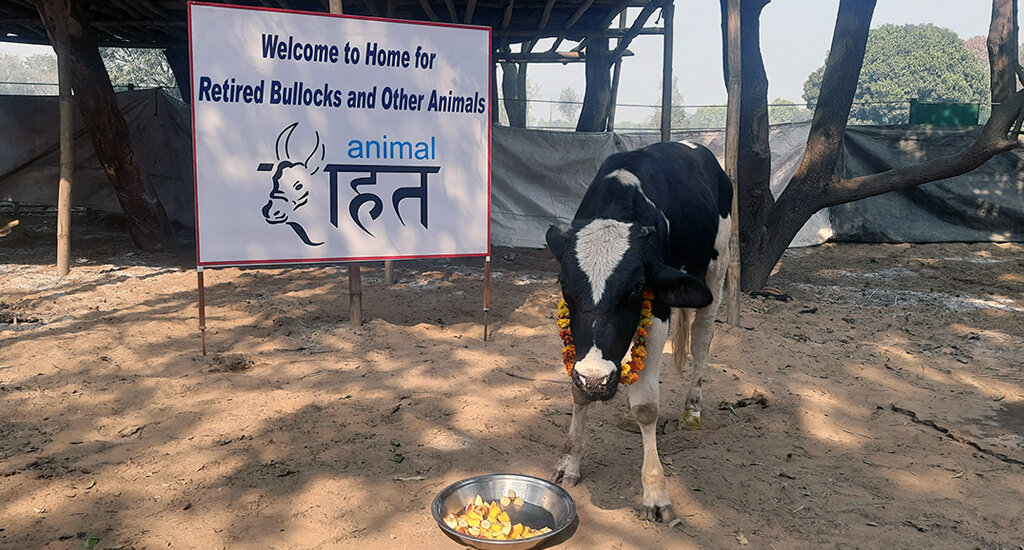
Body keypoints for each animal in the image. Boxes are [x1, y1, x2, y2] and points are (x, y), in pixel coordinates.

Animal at [548, 139, 733, 520]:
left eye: (635, 287)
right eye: (564, 285)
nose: (596, 379)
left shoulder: (659, 312)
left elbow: (646, 406)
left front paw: (655, 491)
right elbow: (576, 393)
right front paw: (569, 461)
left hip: (716, 270)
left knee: (702, 339)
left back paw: (692, 408)